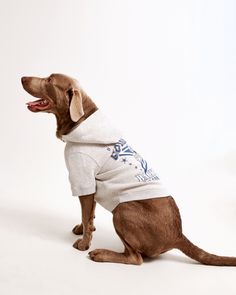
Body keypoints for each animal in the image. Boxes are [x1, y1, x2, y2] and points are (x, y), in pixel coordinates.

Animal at [21, 73, 236, 266]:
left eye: (49, 80)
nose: (22, 78)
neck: (81, 122)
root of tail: (178, 235)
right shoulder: (91, 187)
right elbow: (89, 215)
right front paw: (83, 229)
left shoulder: (83, 179)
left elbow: (85, 213)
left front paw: (83, 243)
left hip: (123, 210)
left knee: (135, 258)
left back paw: (100, 254)